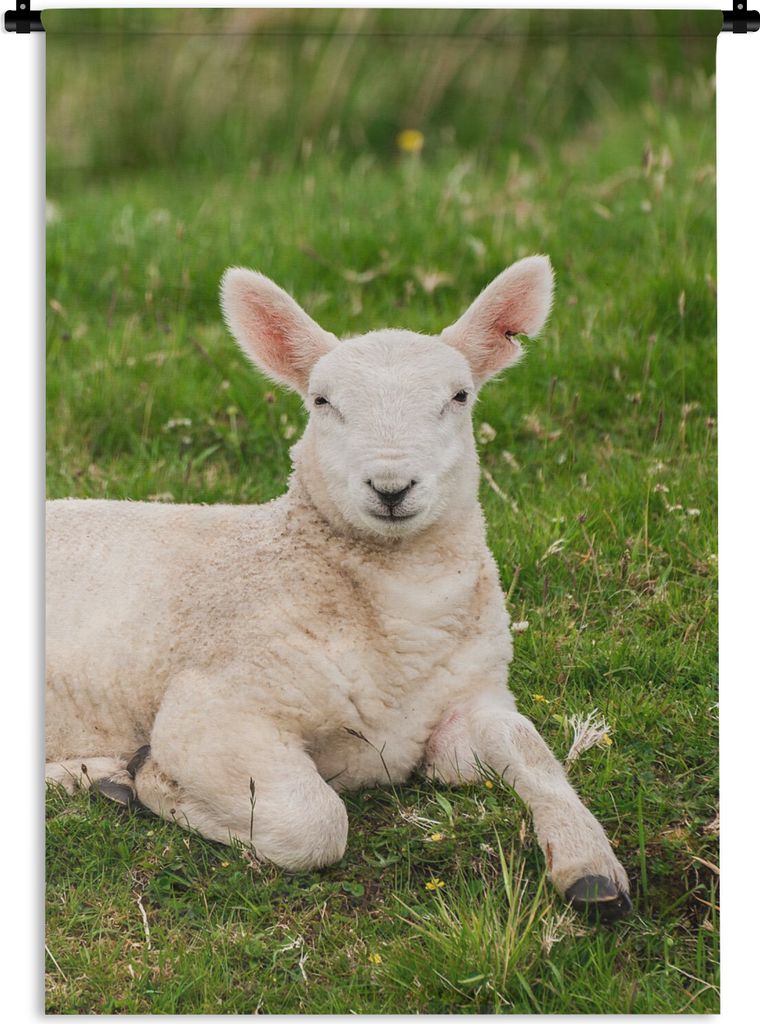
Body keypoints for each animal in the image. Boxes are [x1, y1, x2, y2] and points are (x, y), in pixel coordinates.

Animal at [46, 255, 631, 922]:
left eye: (459, 396)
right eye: (322, 401)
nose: (391, 486)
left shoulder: (472, 701)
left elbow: (527, 748)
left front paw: (591, 866)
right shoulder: (214, 706)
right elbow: (315, 823)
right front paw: (156, 783)